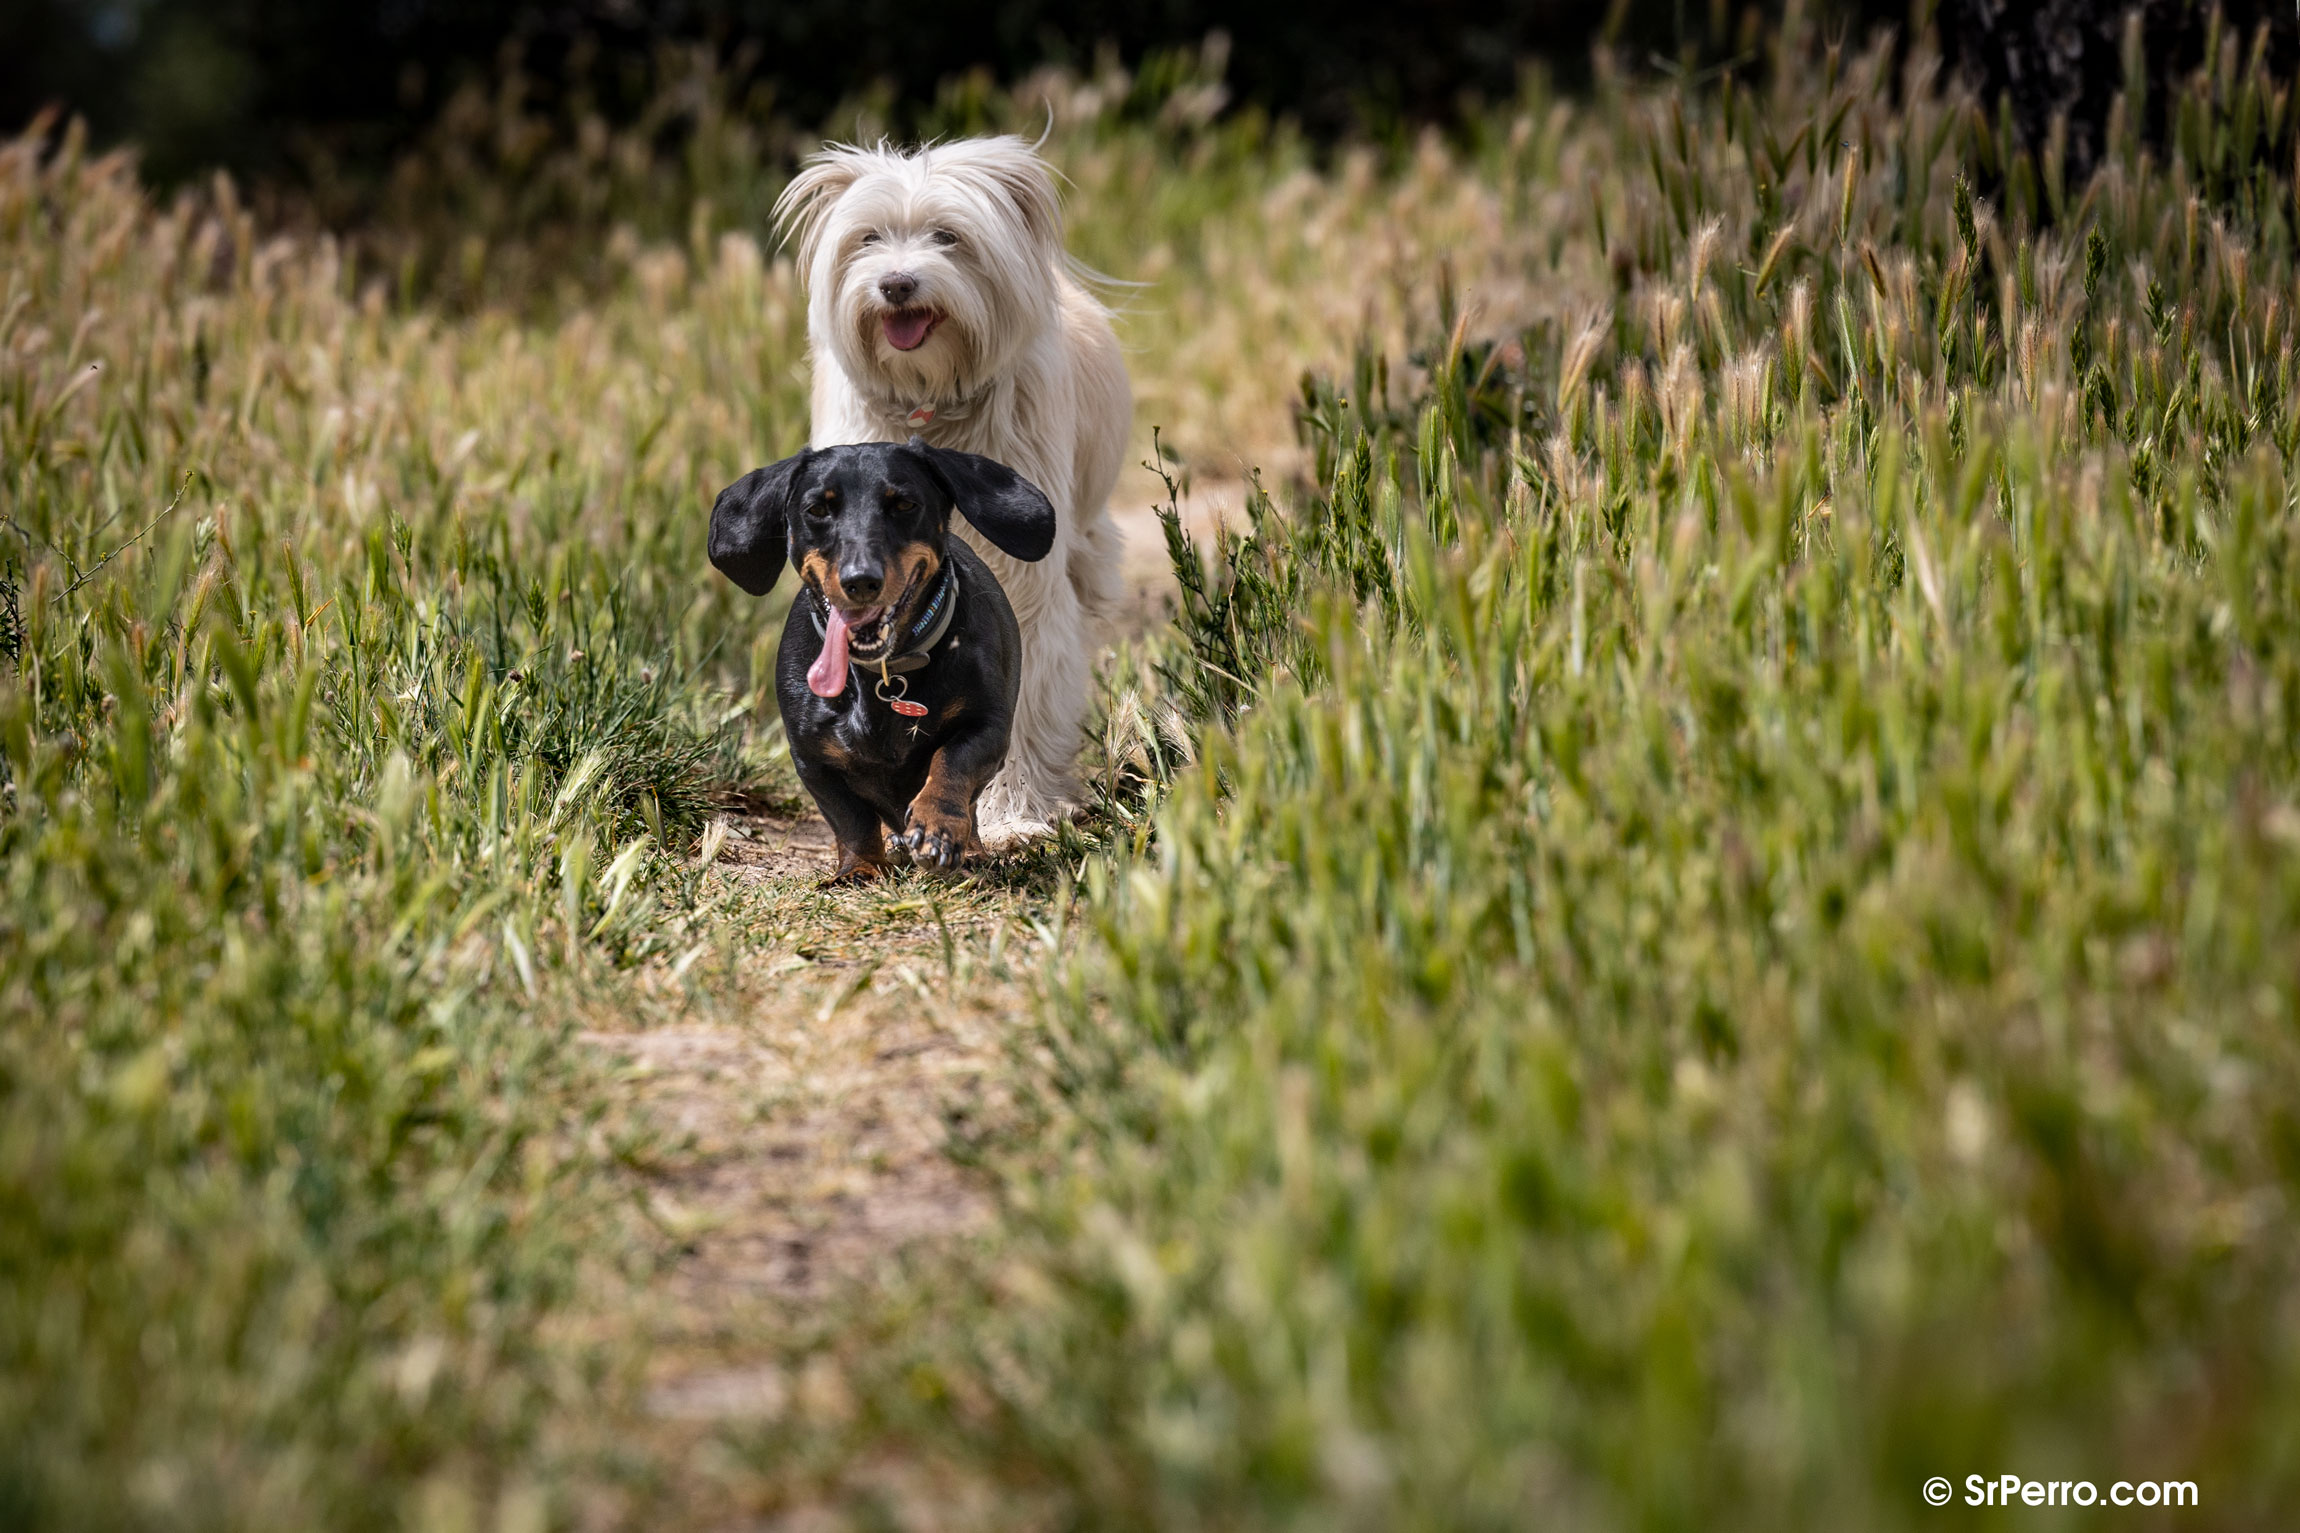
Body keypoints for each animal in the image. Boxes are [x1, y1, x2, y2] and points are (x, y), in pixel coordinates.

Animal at [772, 136, 1131, 845]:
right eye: (869, 238)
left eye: (948, 237)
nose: (896, 283)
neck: (930, 397)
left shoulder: (1023, 579)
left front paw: (1014, 810)